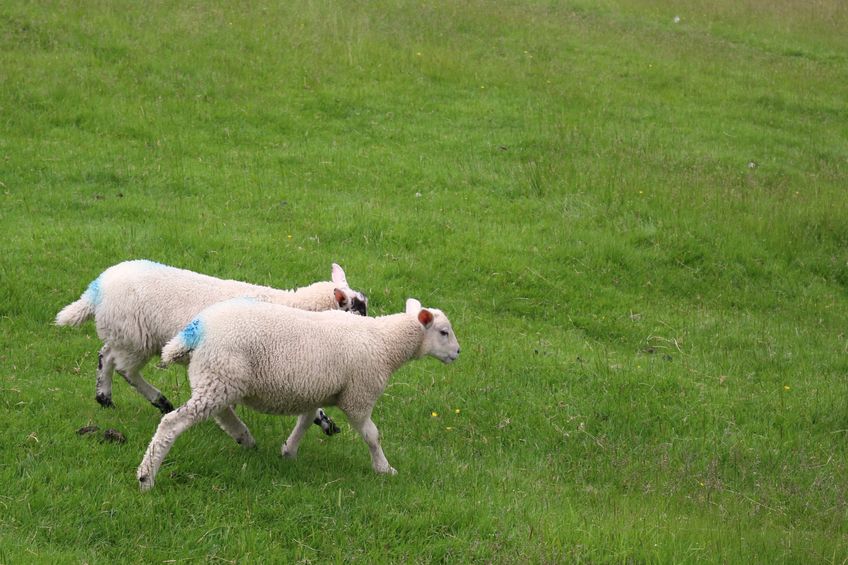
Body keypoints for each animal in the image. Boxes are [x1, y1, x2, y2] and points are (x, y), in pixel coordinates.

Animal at [55, 260, 368, 435]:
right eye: (358, 310)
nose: (370, 333)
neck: (294, 306)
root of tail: (96, 289)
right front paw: (326, 423)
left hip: (126, 335)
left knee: (106, 356)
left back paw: (104, 397)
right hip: (136, 338)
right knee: (125, 369)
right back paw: (159, 401)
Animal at [137, 297, 460, 490]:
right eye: (443, 332)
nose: (458, 352)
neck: (385, 343)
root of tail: (196, 329)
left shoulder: (317, 391)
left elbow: (305, 421)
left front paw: (289, 452)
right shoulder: (359, 395)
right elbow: (372, 435)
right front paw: (384, 468)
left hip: (218, 377)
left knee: (220, 412)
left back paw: (244, 436)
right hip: (221, 375)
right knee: (172, 423)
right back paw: (146, 477)